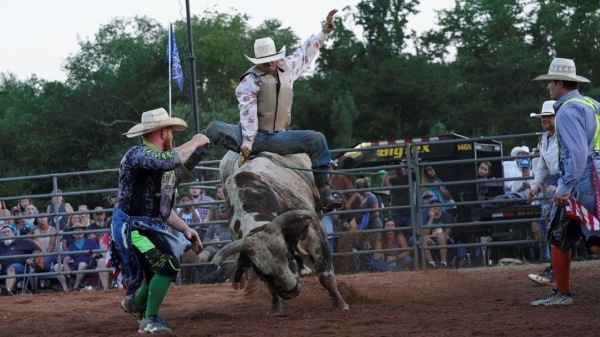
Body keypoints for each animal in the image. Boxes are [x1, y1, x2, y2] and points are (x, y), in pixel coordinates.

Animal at [213, 151, 350, 314]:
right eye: (260, 269)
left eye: (287, 253)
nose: (292, 290)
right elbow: (271, 287)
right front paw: (275, 309)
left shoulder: (315, 232)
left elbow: (326, 275)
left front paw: (340, 304)